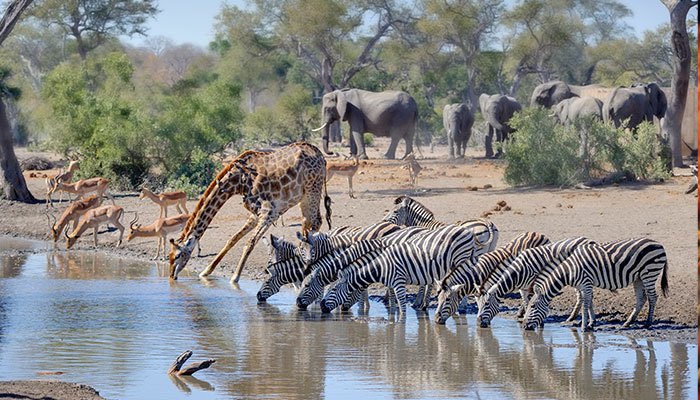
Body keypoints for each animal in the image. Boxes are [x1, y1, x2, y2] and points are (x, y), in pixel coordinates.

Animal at [170, 142, 334, 282]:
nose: (171, 276)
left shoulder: (269, 212)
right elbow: (233, 238)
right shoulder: (256, 213)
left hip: (313, 188)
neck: (237, 182)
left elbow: (250, 242)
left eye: (177, 256)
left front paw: (235, 278)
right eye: (169, 256)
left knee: (315, 221)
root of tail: (321, 156)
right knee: (308, 222)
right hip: (304, 195)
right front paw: (206, 271)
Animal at [322, 225, 478, 316]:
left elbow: (402, 308)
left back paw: (462, 307)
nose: (322, 307)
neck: (381, 266)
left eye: (333, 290)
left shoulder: (398, 282)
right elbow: (392, 302)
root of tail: (467, 230)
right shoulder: (391, 284)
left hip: (461, 259)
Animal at [524, 238, 668, 332]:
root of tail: (659, 244)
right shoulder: (584, 286)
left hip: (649, 272)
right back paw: (627, 323)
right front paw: (591, 323)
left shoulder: (586, 283)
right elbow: (589, 302)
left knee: (652, 297)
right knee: (641, 299)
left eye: (533, 306)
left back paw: (648, 323)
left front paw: (584, 327)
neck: (570, 270)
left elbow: (585, 304)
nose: (524, 326)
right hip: (638, 277)